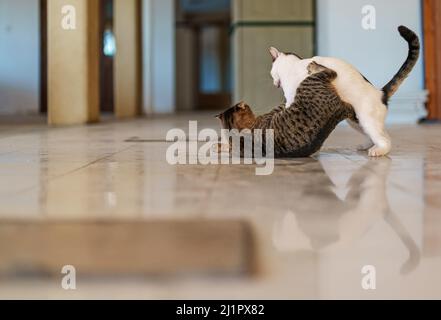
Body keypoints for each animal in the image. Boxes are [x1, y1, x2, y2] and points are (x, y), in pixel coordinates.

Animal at [217, 62, 358, 158]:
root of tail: (339, 108)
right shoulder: (274, 112)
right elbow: (281, 105)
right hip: (310, 82)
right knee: (331, 71)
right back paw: (313, 65)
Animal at [268, 26, 420, 156]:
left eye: (272, 74)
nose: (274, 84)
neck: (293, 64)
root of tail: (380, 93)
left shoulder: (291, 98)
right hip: (356, 122)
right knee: (381, 136)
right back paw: (366, 146)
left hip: (366, 120)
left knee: (385, 140)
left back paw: (378, 151)